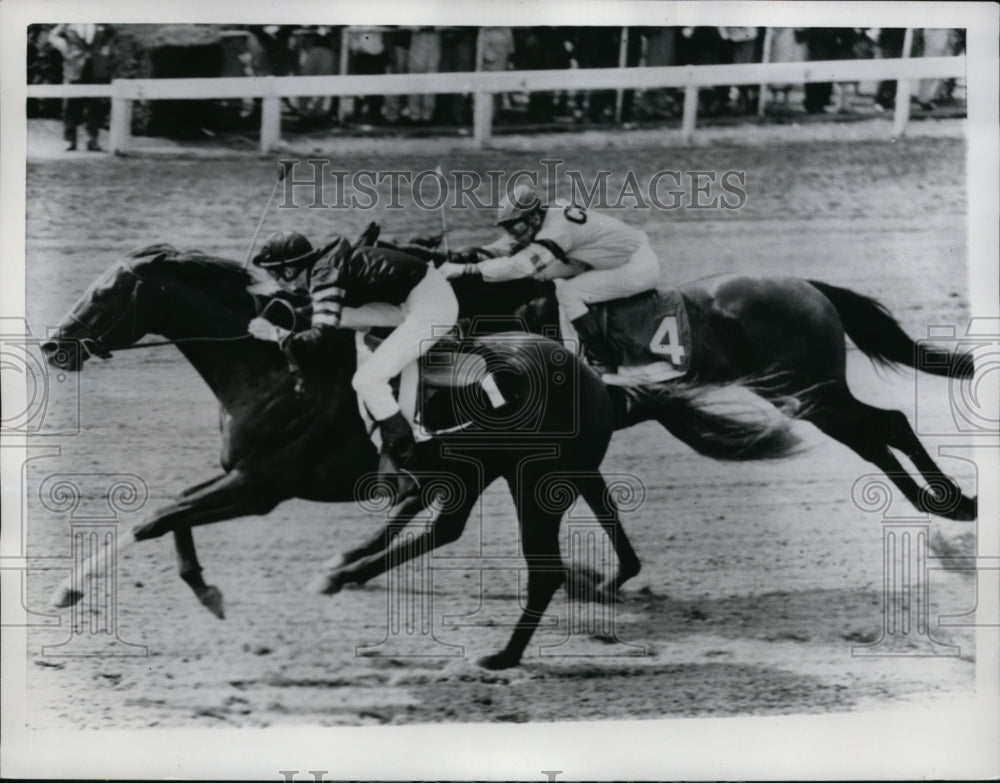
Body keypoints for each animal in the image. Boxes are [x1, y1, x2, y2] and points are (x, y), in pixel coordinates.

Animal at [41, 248, 796, 672]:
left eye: (105, 293)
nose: (52, 344)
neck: (271, 369)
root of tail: (587, 372)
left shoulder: (259, 485)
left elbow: (157, 517)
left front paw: (68, 589)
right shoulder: (236, 473)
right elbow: (171, 513)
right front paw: (204, 587)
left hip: (537, 481)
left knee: (543, 569)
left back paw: (501, 655)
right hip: (478, 472)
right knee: (448, 526)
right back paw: (348, 570)